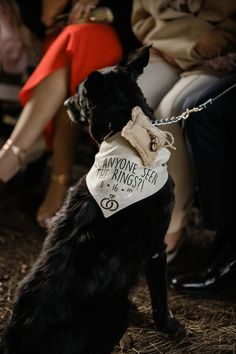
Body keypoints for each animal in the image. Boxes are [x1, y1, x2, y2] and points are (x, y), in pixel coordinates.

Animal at [1, 46, 181, 354]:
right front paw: (169, 326)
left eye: (78, 92)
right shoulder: (157, 247)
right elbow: (160, 298)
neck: (126, 133)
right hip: (117, 311)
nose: (64, 103)